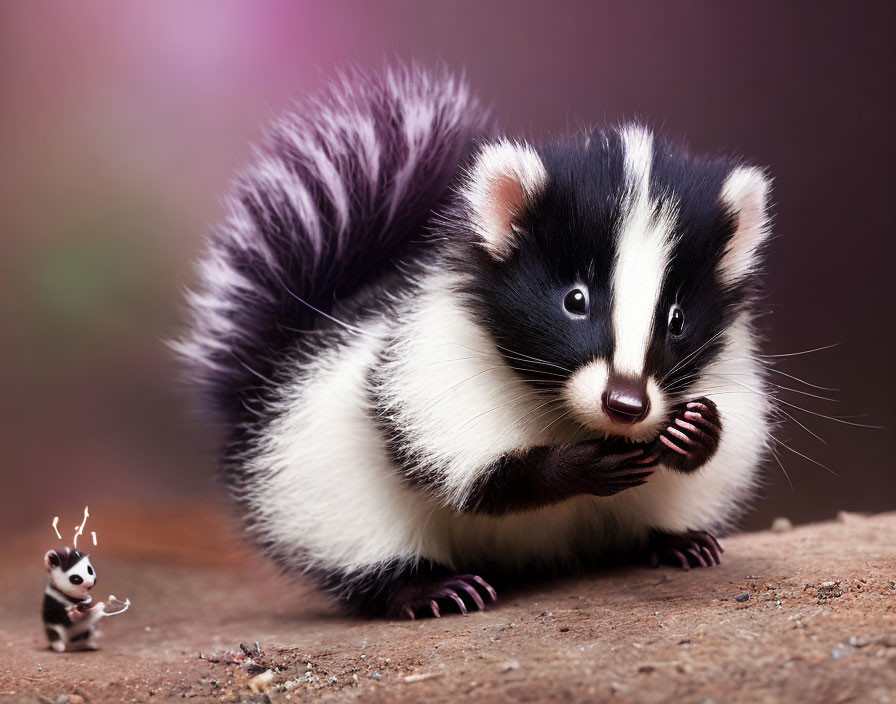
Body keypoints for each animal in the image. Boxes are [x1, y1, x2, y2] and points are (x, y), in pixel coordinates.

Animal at [175, 64, 768, 616]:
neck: (564, 411)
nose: (626, 404)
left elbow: (727, 427)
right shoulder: (436, 362)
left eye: (677, 318)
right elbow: (477, 477)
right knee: (364, 549)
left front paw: (697, 429)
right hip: (322, 482)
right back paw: (431, 589)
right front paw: (581, 466)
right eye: (574, 300)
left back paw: (677, 543)